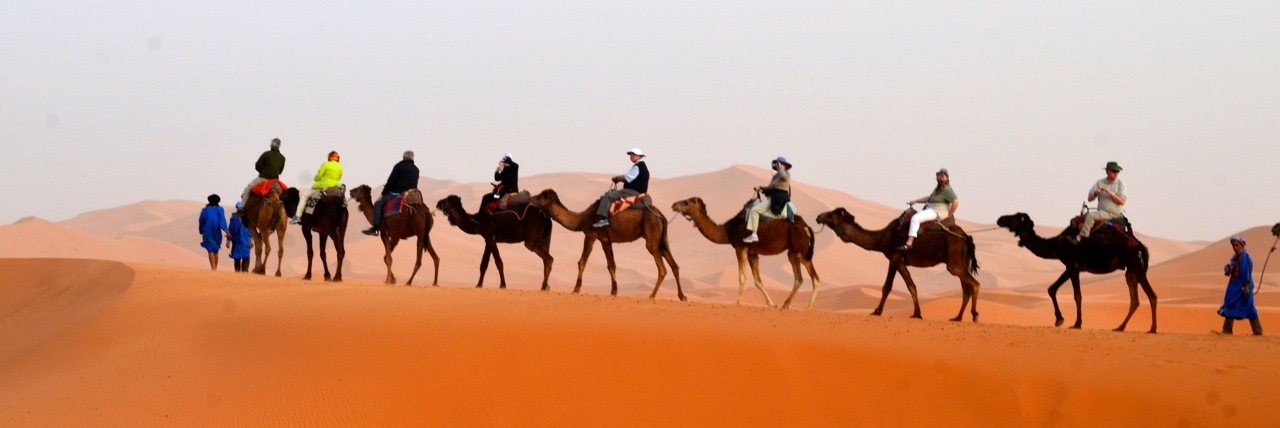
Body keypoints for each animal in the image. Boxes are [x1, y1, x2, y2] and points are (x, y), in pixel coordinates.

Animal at [527, 187, 686, 301]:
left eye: (541, 196)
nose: (531, 198)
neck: (583, 218)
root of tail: (661, 216)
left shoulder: (591, 234)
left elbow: (582, 262)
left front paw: (576, 289)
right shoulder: (605, 240)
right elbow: (611, 265)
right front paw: (614, 291)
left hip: (651, 234)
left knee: (662, 267)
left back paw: (652, 296)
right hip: (662, 239)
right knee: (674, 265)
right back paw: (682, 296)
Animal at [670, 197, 819, 311]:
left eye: (686, 202)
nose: (673, 205)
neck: (728, 230)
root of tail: (806, 226)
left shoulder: (740, 247)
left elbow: (742, 277)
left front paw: (735, 302)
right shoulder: (753, 253)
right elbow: (758, 280)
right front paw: (772, 304)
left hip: (802, 250)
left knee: (814, 278)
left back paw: (808, 308)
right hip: (793, 252)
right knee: (799, 278)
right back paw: (785, 305)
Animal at [814, 207, 983, 320]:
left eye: (831, 214)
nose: (818, 217)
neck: (882, 238)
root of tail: (965, 236)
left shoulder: (895, 257)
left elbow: (903, 286)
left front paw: (914, 313)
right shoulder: (895, 260)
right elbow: (896, 287)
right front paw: (881, 311)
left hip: (954, 260)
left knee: (974, 283)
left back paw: (974, 315)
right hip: (962, 260)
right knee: (966, 289)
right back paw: (957, 317)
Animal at [988, 212, 1162, 333]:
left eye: (1016, 217)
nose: (1000, 219)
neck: (1057, 245)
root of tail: (1138, 243)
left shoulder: (1072, 264)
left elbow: (1077, 296)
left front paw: (1077, 323)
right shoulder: (1071, 266)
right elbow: (1051, 289)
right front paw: (1059, 319)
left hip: (1135, 265)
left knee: (1152, 294)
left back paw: (1152, 328)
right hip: (1130, 270)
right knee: (1135, 299)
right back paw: (1120, 327)